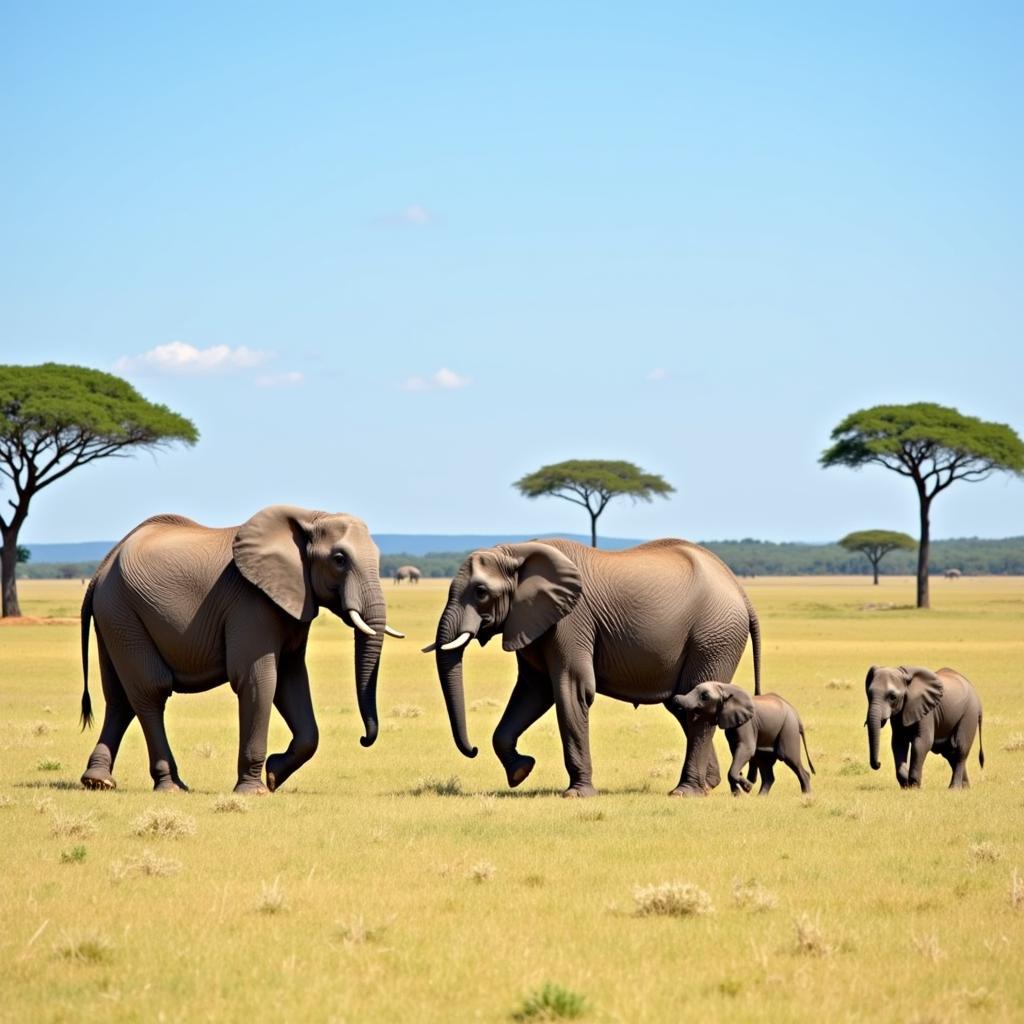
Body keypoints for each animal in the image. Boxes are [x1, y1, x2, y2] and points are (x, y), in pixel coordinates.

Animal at [79, 507, 401, 794]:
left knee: (120, 698)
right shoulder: (250, 603)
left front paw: (273, 777)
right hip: (122, 610)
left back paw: (98, 781)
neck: (309, 517)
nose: (363, 739)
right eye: (339, 559)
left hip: (115, 617)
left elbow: (291, 680)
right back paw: (170, 787)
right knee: (151, 691)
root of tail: (100, 570)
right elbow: (258, 680)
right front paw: (253, 791)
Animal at [423, 540, 761, 794]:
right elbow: (533, 691)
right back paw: (708, 785)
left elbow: (571, 689)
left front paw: (576, 794)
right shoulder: (531, 620)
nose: (473, 750)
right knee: (682, 703)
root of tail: (740, 591)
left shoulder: (571, 621)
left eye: (481, 592)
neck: (517, 551)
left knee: (698, 706)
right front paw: (521, 771)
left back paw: (685, 792)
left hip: (714, 636)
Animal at [675, 684, 811, 794]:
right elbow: (736, 750)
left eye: (705, 696)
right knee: (765, 766)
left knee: (790, 758)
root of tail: (796, 716)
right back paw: (761, 798)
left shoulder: (747, 724)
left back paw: (807, 795)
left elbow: (746, 749)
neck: (724, 688)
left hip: (788, 729)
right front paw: (738, 793)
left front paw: (747, 787)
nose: (675, 698)